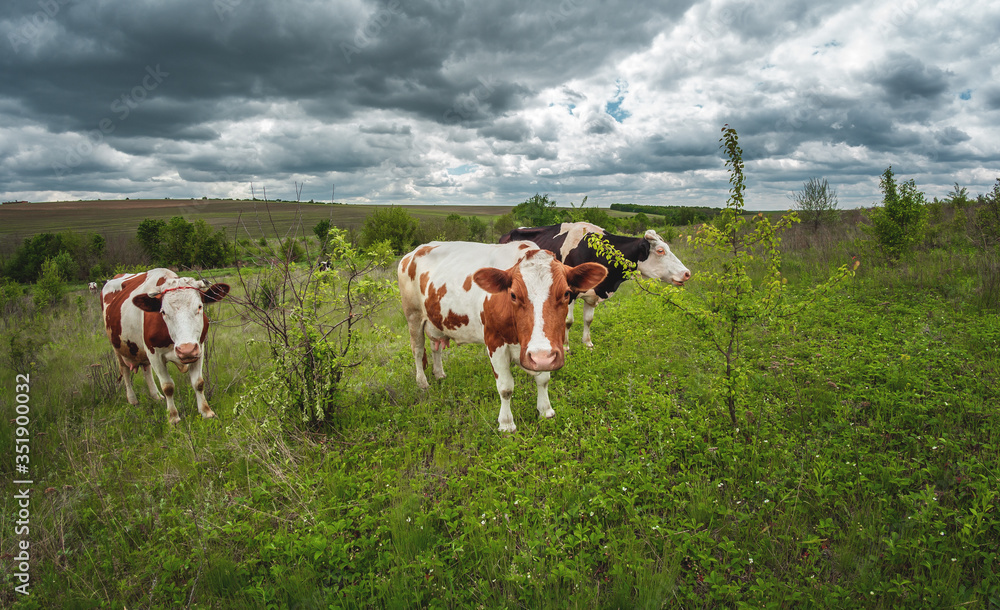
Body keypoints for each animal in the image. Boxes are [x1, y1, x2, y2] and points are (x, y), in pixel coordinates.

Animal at [103, 268, 232, 420]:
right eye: (163, 312)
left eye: (200, 307)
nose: (186, 350)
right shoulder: (154, 354)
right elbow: (168, 386)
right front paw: (173, 417)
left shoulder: (199, 348)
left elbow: (198, 383)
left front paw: (206, 412)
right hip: (118, 349)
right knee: (125, 372)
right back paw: (133, 399)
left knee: (146, 369)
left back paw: (156, 396)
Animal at [396, 240, 600, 430]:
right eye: (513, 295)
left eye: (566, 293)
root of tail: (415, 251)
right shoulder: (495, 342)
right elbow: (505, 388)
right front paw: (506, 423)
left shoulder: (543, 350)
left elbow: (543, 379)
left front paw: (545, 411)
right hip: (413, 316)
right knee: (417, 350)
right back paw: (422, 382)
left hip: (435, 321)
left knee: (435, 347)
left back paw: (439, 374)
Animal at [498, 223, 688, 346]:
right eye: (660, 251)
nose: (687, 273)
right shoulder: (570, 292)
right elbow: (568, 320)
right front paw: (566, 346)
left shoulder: (594, 293)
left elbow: (588, 319)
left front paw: (587, 343)